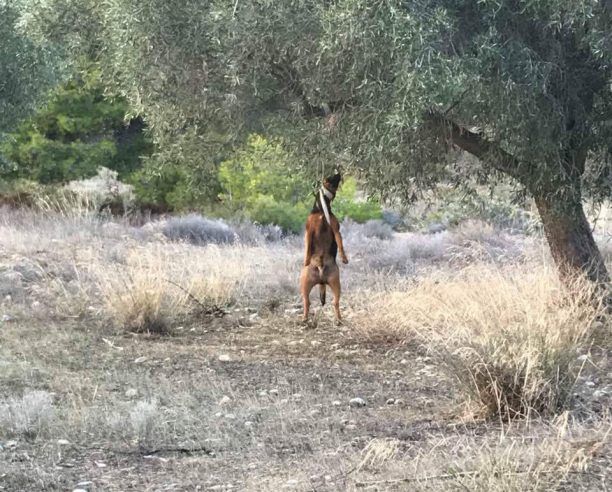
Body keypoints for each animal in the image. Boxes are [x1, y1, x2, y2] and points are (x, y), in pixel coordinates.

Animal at [302, 173, 350, 322]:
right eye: (331, 177)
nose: (339, 173)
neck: (321, 210)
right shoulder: (310, 231)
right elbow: (307, 247)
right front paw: (306, 260)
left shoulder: (335, 230)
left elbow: (340, 245)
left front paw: (344, 258)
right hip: (307, 283)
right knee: (309, 302)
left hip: (334, 283)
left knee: (332, 302)